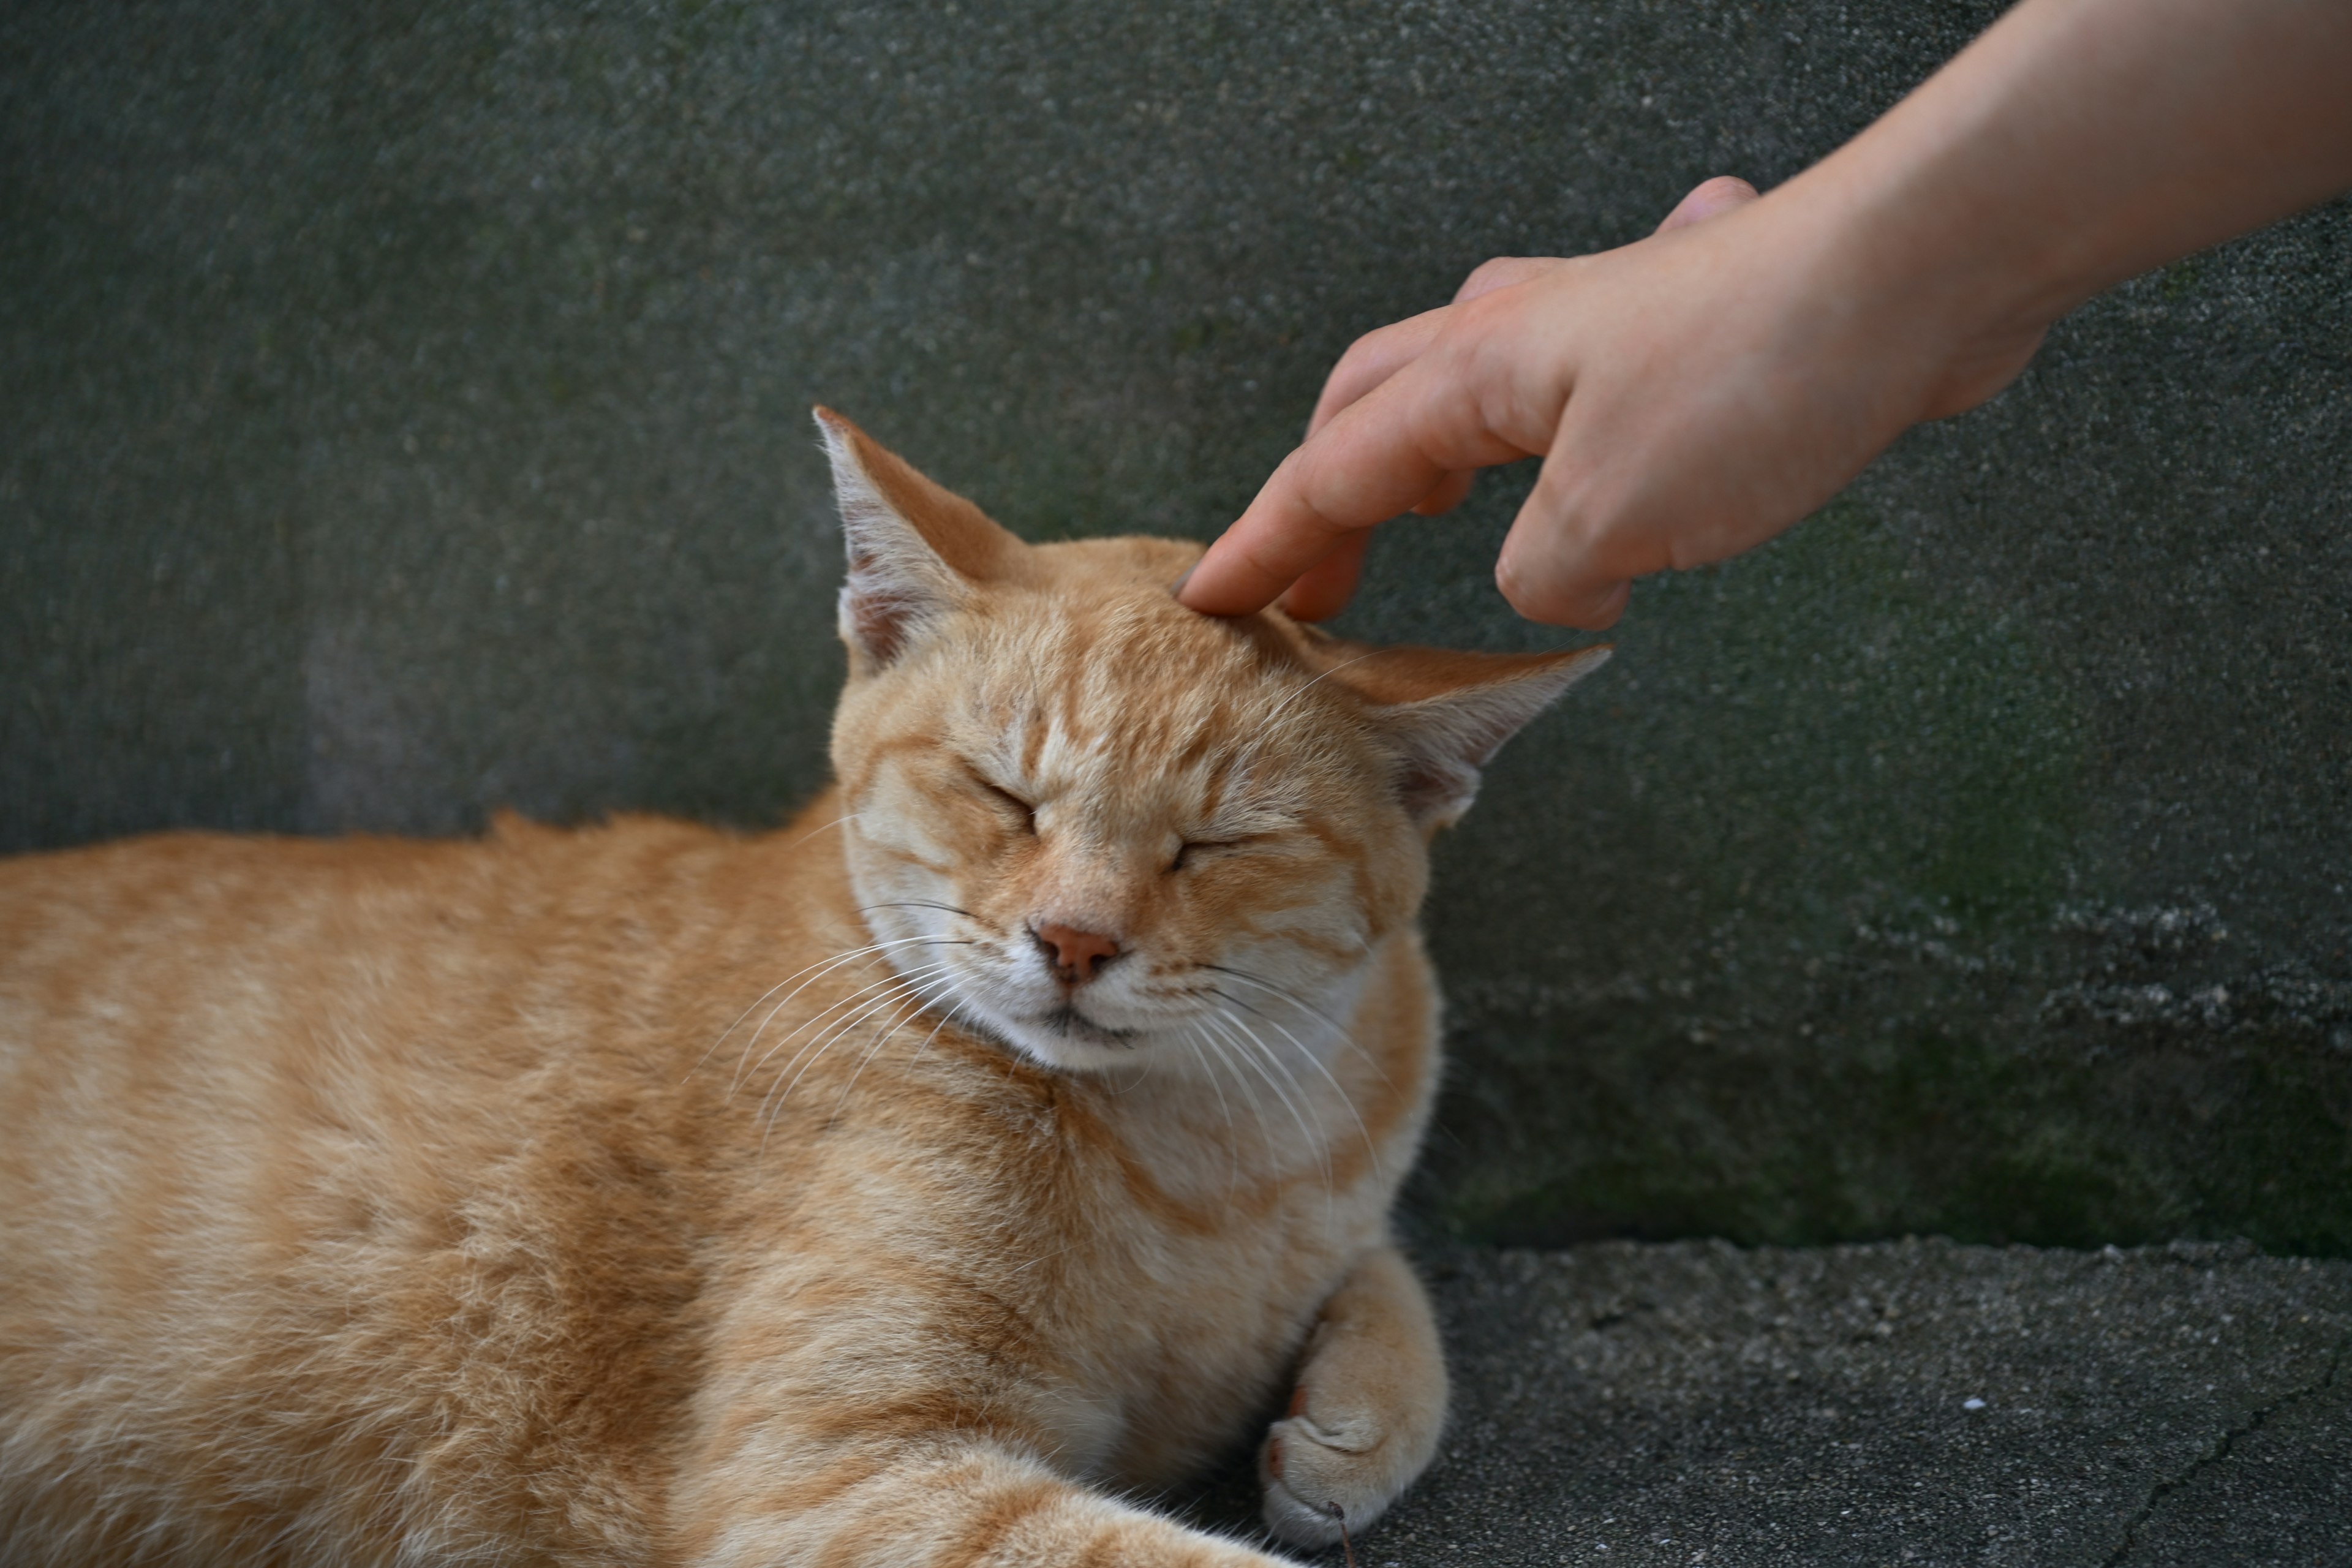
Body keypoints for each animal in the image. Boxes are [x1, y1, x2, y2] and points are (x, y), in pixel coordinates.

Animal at [0, 411, 1599, 1561]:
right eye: (1003, 792)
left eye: (1214, 842)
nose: (1075, 941)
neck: (1207, 1165)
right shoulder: (838, 1472)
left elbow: (1387, 1278)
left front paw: (1348, 1419)